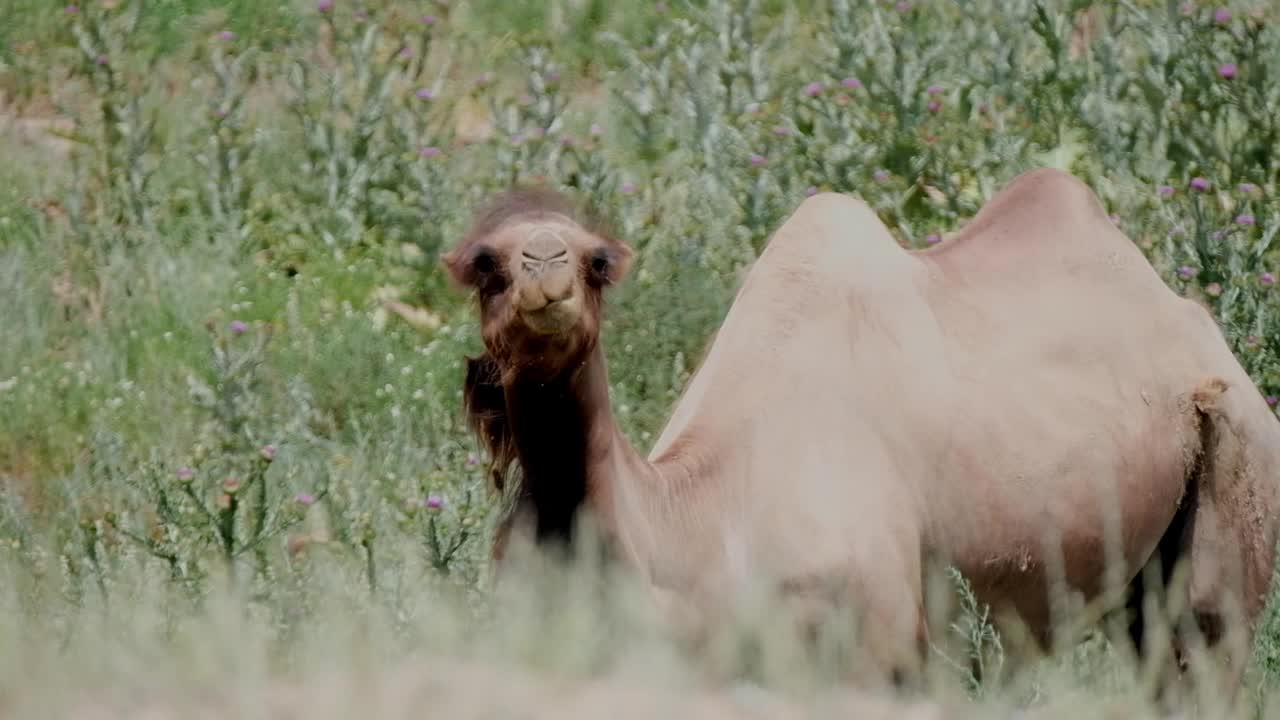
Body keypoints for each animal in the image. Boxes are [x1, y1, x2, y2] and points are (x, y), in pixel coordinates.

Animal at [442, 169, 1280, 696]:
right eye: (483, 264)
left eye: (597, 262)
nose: (544, 264)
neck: (700, 522)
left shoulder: (873, 649)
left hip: (1237, 448)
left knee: (1203, 644)